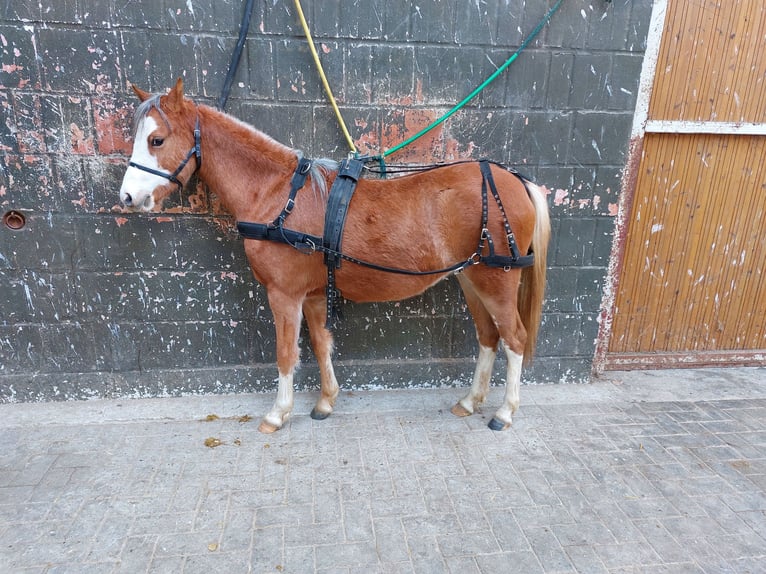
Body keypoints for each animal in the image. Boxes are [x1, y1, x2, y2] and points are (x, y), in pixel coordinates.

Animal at [118, 80, 552, 432]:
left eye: (156, 141)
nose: (127, 197)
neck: (278, 194)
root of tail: (515, 181)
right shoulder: (310, 294)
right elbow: (320, 343)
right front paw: (325, 402)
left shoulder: (284, 294)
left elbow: (286, 353)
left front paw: (278, 413)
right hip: (469, 277)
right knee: (488, 337)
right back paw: (470, 401)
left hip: (496, 281)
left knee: (513, 338)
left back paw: (504, 413)